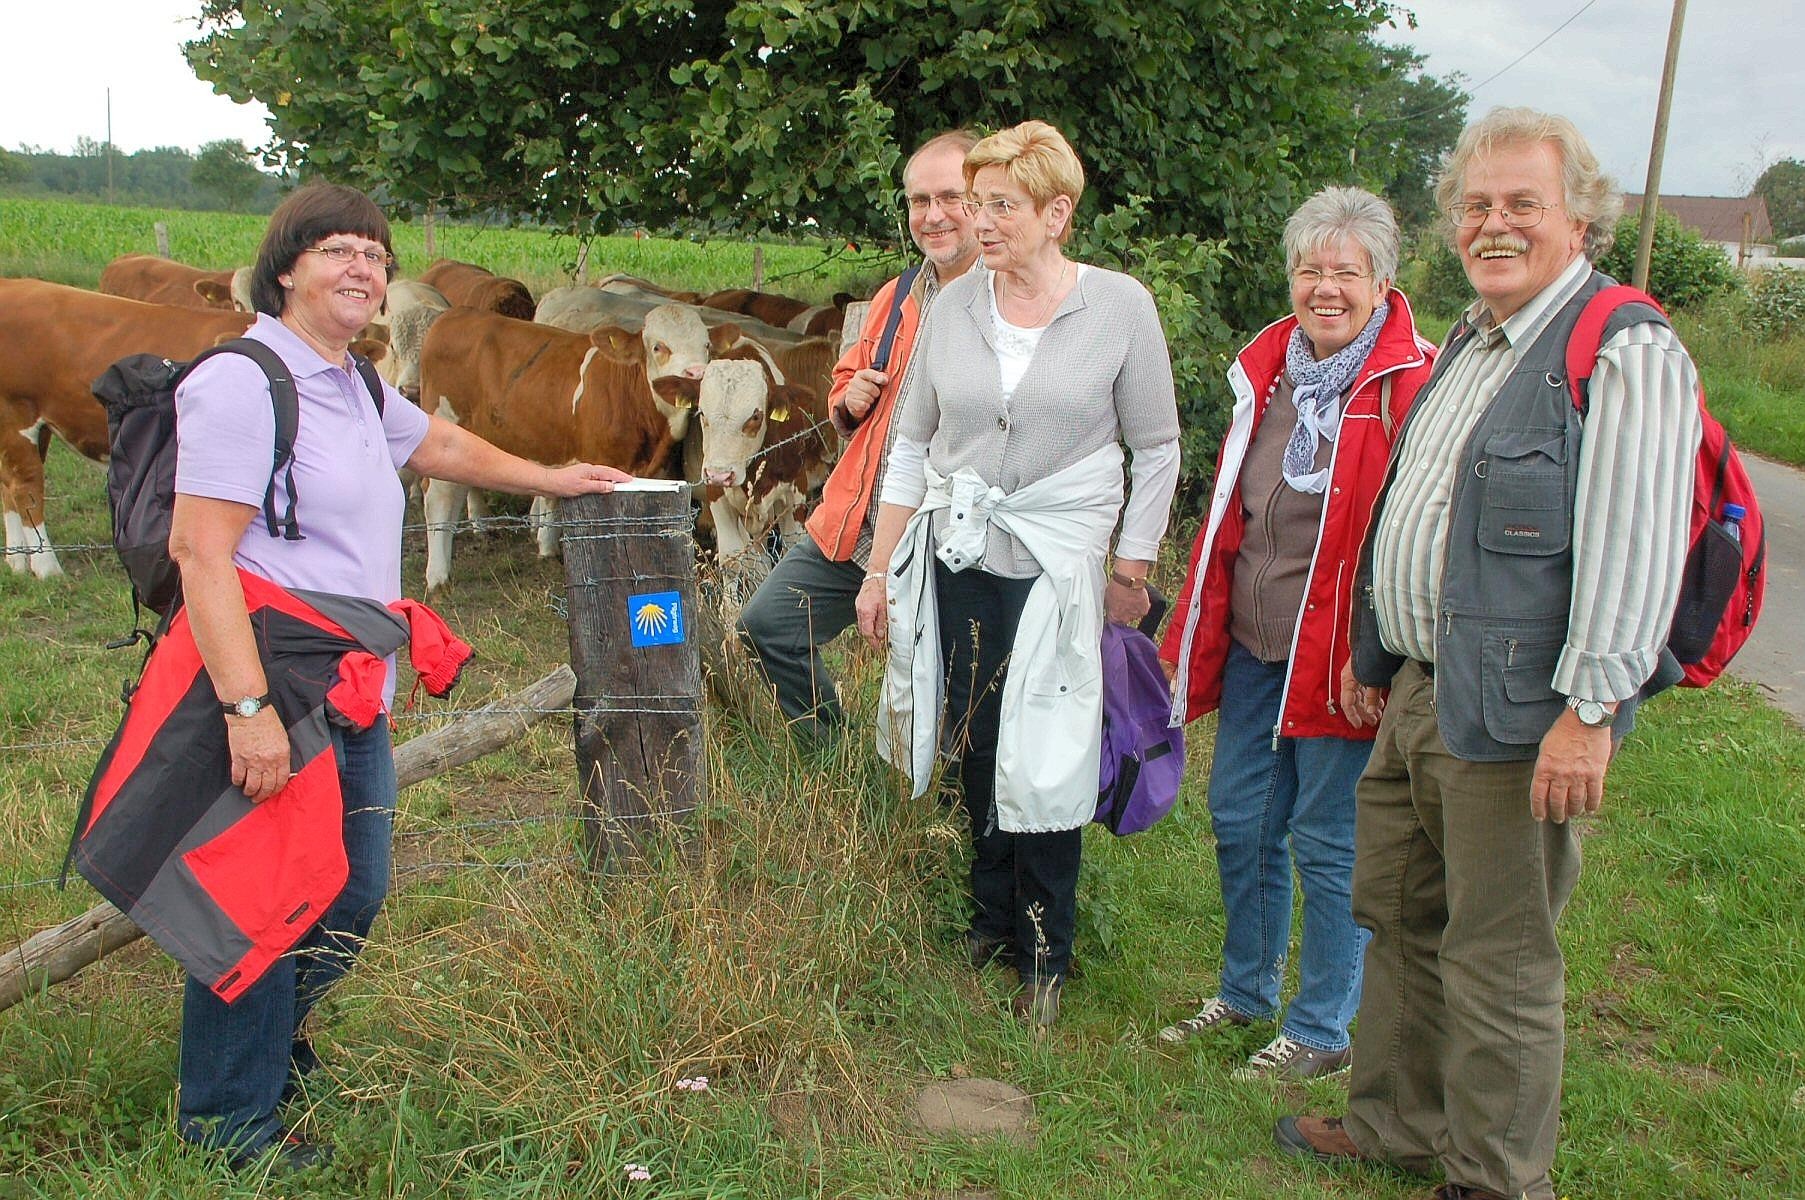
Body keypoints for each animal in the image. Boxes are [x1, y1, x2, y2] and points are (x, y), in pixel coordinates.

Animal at [416, 304, 740, 588]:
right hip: (445, 423)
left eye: (707, 346)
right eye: (659, 347)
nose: (697, 374)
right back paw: (437, 577)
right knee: (438, 498)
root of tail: (455, 314)